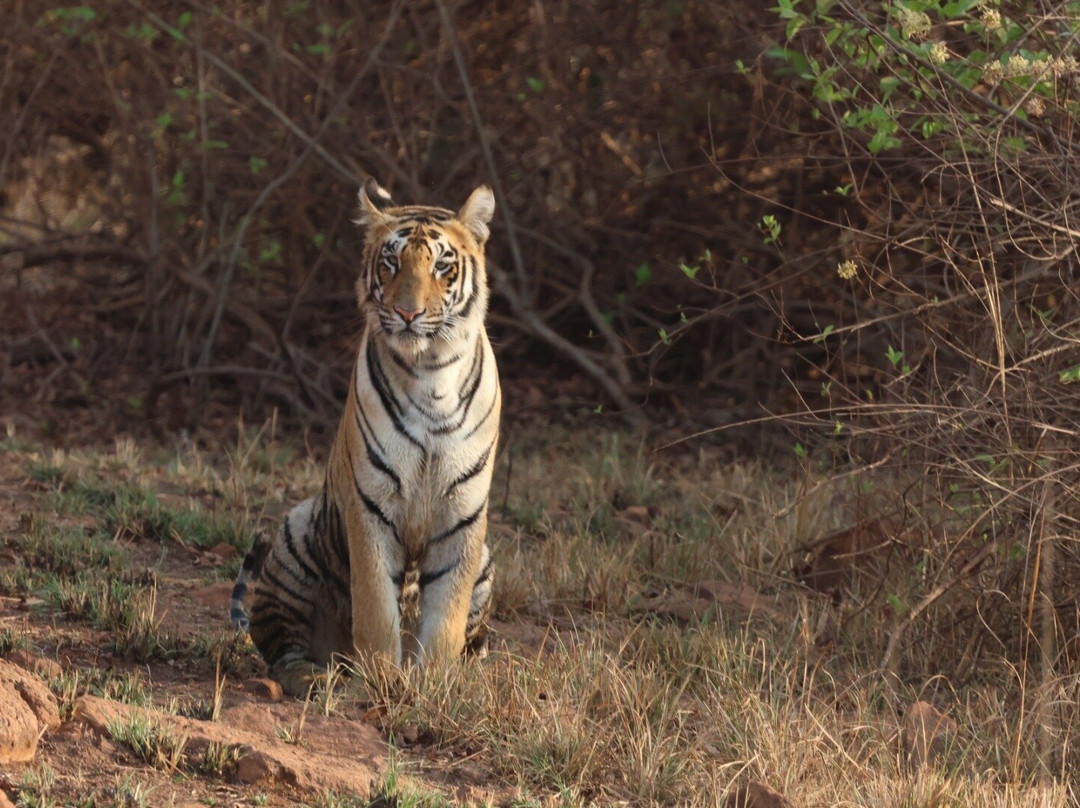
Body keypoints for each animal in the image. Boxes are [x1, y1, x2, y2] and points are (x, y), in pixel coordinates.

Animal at [230, 178, 502, 697]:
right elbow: (376, 608)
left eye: (442, 265)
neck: (431, 374)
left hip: (485, 561)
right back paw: (317, 676)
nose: (407, 312)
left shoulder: (462, 516)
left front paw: (435, 685)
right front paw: (379, 680)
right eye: (391, 262)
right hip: (295, 535)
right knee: (282, 648)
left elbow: (447, 617)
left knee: (473, 643)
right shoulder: (370, 505)